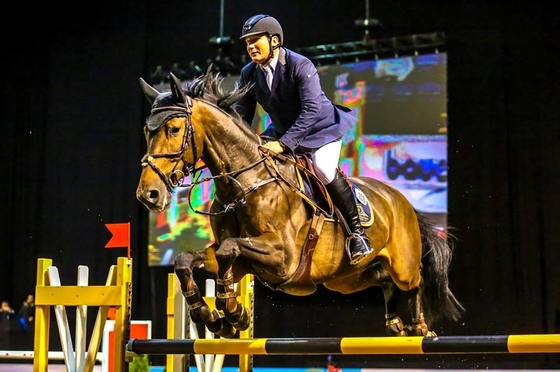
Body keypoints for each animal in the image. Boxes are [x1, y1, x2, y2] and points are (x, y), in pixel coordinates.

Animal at [136, 71, 464, 338]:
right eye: (146, 131)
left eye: (174, 129)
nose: (147, 194)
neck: (245, 183)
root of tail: (400, 200)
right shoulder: (243, 261)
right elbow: (186, 260)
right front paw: (213, 316)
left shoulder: (283, 257)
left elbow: (228, 251)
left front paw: (233, 314)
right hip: (347, 279)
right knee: (382, 279)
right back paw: (395, 321)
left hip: (401, 264)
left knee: (414, 281)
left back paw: (419, 327)